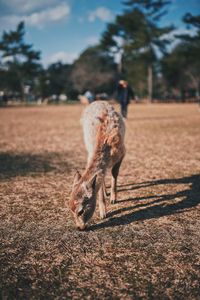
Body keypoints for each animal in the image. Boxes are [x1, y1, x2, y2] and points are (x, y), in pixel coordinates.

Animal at [69, 101, 125, 230]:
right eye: (70, 209)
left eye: (81, 211)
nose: (79, 228)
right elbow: (100, 177)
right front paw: (103, 212)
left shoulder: (122, 152)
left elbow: (114, 173)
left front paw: (113, 199)